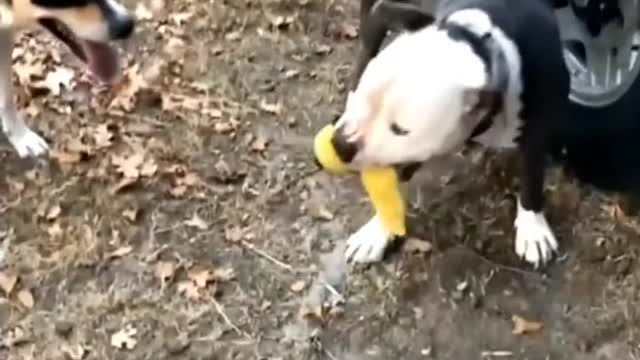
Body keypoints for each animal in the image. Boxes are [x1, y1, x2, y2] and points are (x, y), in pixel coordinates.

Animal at [324, 0, 568, 268]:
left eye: (400, 130)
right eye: (365, 93)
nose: (340, 143)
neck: (477, 42)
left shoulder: (538, 128)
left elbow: (531, 179)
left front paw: (533, 228)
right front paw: (377, 232)